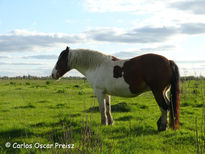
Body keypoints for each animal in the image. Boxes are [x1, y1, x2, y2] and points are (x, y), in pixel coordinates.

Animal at [52, 47, 180, 131]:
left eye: (60, 60)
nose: (53, 75)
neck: (97, 66)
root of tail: (168, 61)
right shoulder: (106, 93)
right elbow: (108, 108)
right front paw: (110, 123)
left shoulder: (99, 92)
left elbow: (102, 108)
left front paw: (103, 123)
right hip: (164, 91)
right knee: (169, 106)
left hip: (157, 91)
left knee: (164, 107)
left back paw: (162, 127)